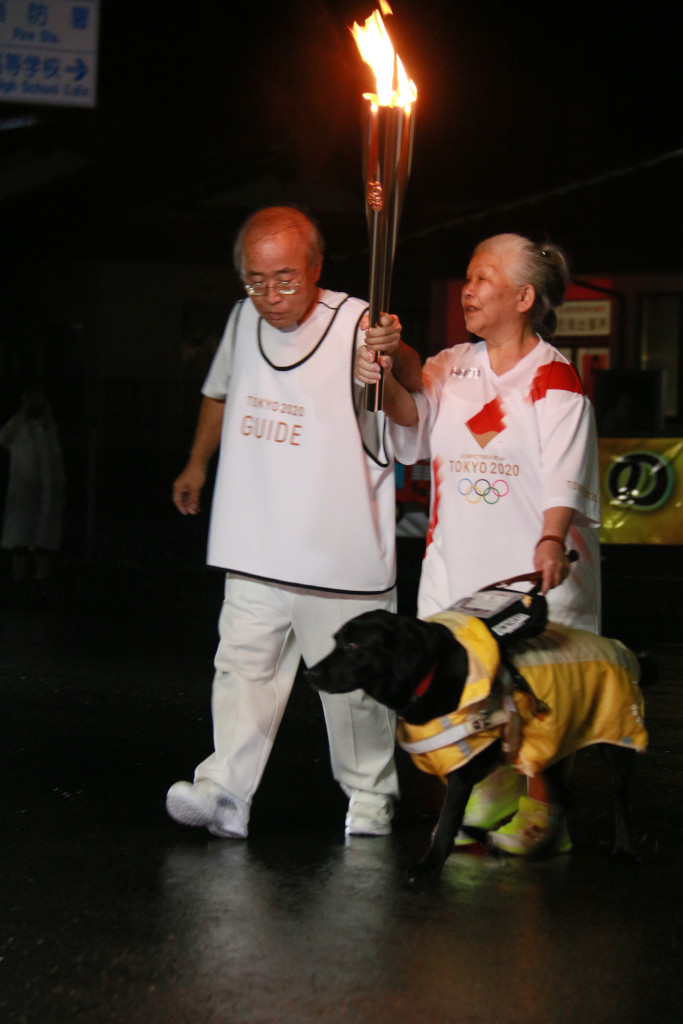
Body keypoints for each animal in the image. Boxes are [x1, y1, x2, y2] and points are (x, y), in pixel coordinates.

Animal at [307, 606, 655, 880]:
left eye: (353, 644)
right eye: (336, 641)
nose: (310, 674)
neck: (431, 671)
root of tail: (620, 647)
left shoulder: (463, 772)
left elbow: (447, 820)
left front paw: (428, 867)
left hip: (615, 740)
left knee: (619, 798)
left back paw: (624, 850)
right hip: (551, 748)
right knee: (561, 796)